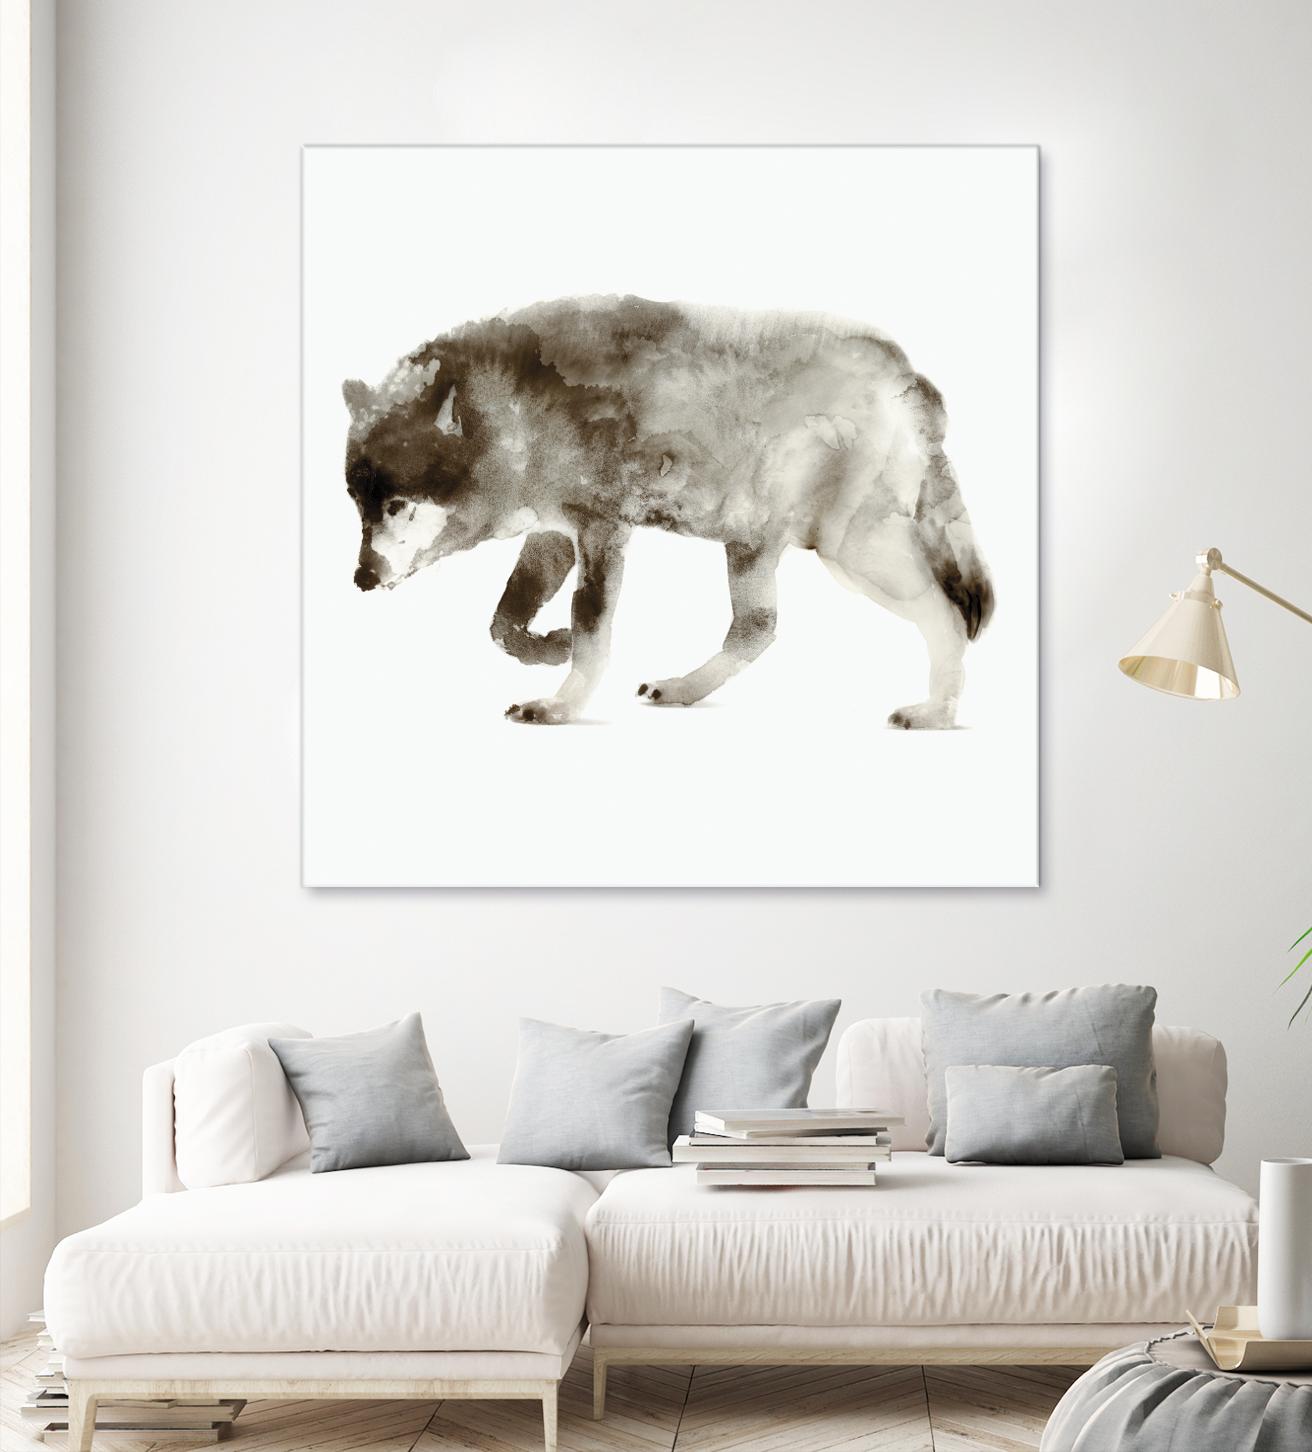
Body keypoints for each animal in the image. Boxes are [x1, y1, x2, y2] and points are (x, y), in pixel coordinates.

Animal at [342, 295, 994, 727]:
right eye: (357, 505)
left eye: (396, 505)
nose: (361, 578)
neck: (511, 411)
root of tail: (905, 372)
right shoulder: (555, 532)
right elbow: (504, 623)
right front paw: (549, 646)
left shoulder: (602, 530)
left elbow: (590, 628)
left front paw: (559, 704)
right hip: (752, 543)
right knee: (758, 629)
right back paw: (682, 690)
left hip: (850, 551)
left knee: (947, 614)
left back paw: (937, 711)